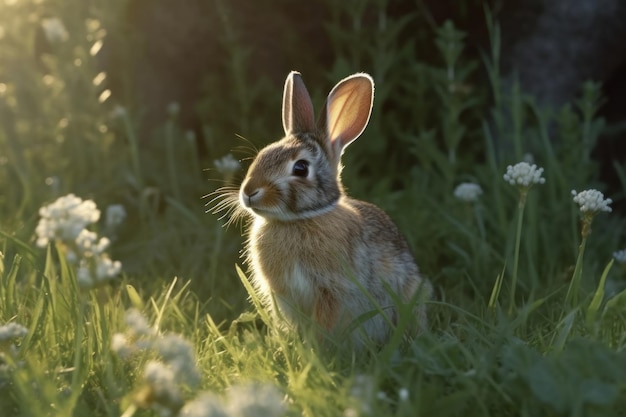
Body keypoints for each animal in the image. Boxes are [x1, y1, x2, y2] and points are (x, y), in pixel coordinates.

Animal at [234, 71, 428, 344]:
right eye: (262, 154)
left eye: (300, 168)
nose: (249, 192)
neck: (299, 219)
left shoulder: (332, 290)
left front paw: (318, 349)